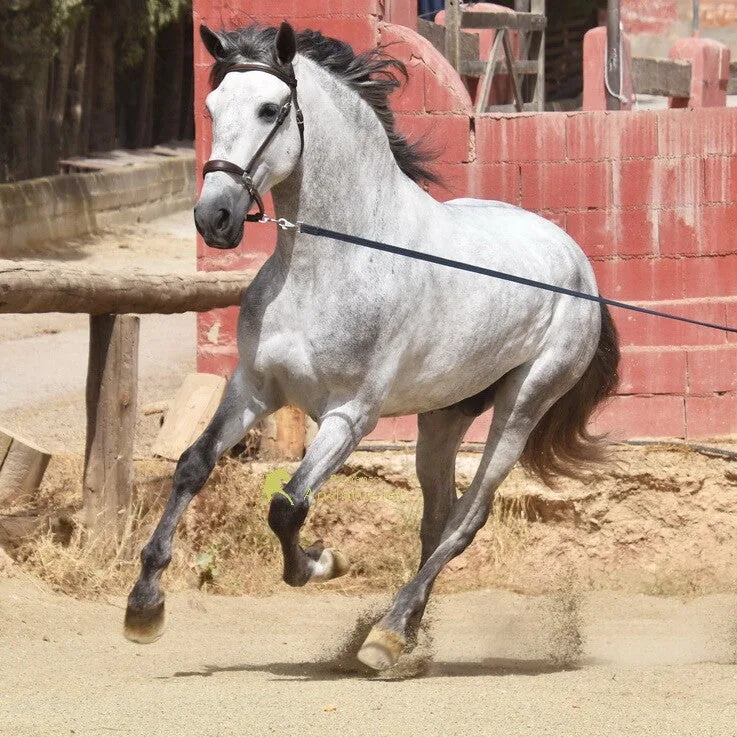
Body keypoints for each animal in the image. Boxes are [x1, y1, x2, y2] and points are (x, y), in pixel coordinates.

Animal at [124, 21, 620, 671]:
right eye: (210, 108)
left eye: (270, 109)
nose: (216, 218)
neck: (330, 262)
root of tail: (578, 260)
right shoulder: (253, 389)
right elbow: (192, 466)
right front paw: (144, 606)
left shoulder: (350, 416)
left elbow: (288, 505)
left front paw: (320, 563)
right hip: (443, 415)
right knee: (437, 517)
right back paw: (404, 630)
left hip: (523, 405)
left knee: (466, 518)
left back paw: (384, 636)